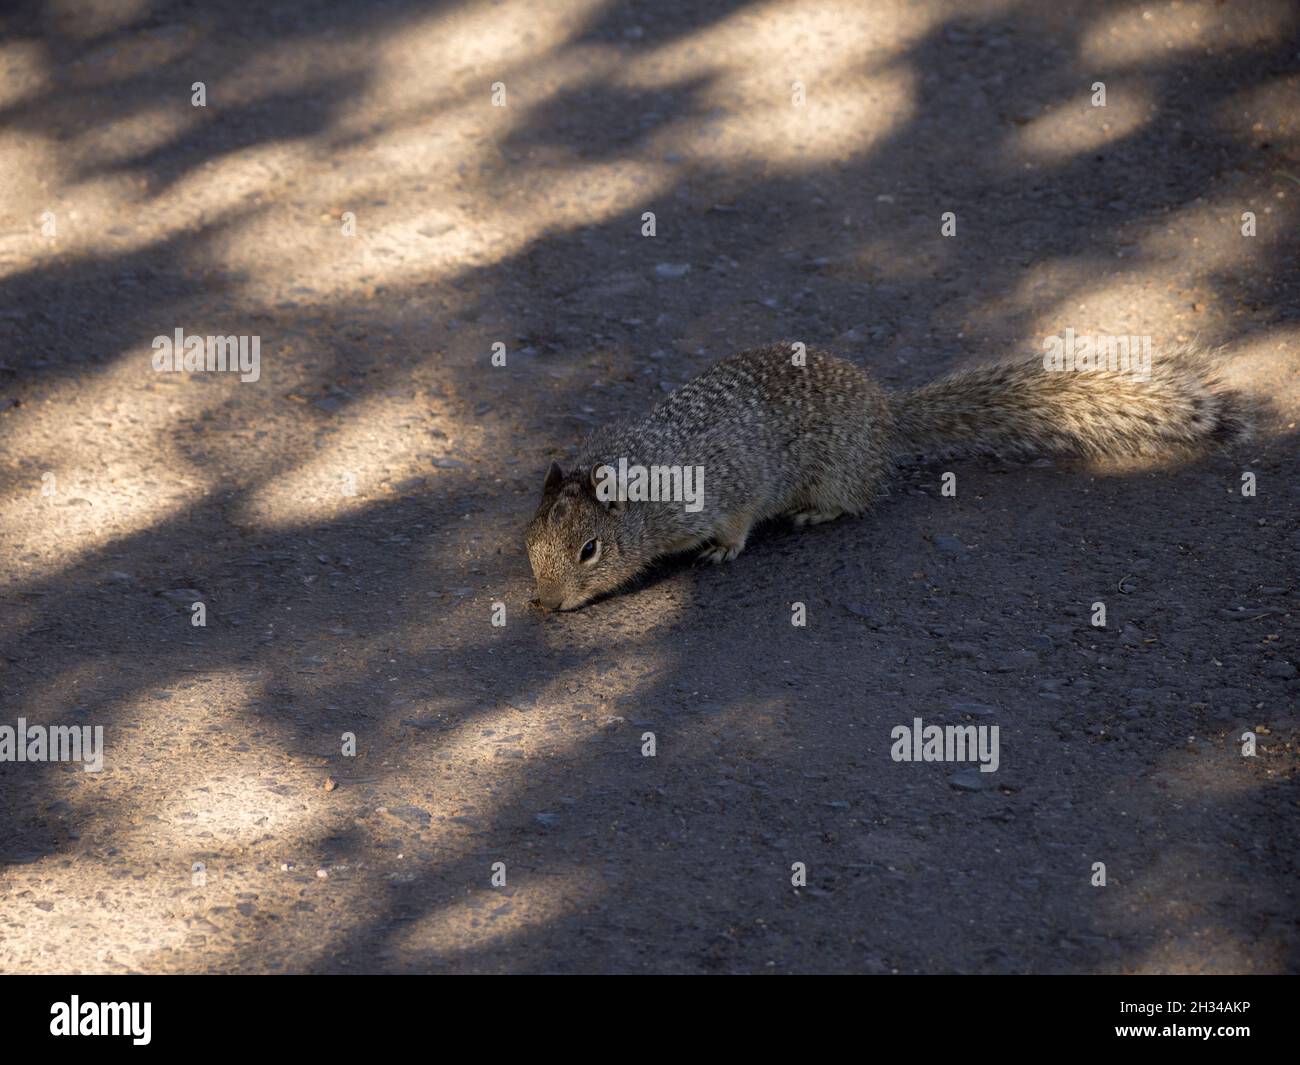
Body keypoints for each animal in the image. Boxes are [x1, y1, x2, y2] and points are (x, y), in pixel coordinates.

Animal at [525, 342, 1248, 611]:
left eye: (589, 551)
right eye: (529, 548)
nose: (547, 605)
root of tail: (885, 413)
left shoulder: (725, 489)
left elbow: (735, 523)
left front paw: (723, 550)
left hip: (835, 474)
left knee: (851, 499)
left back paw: (815, 512)